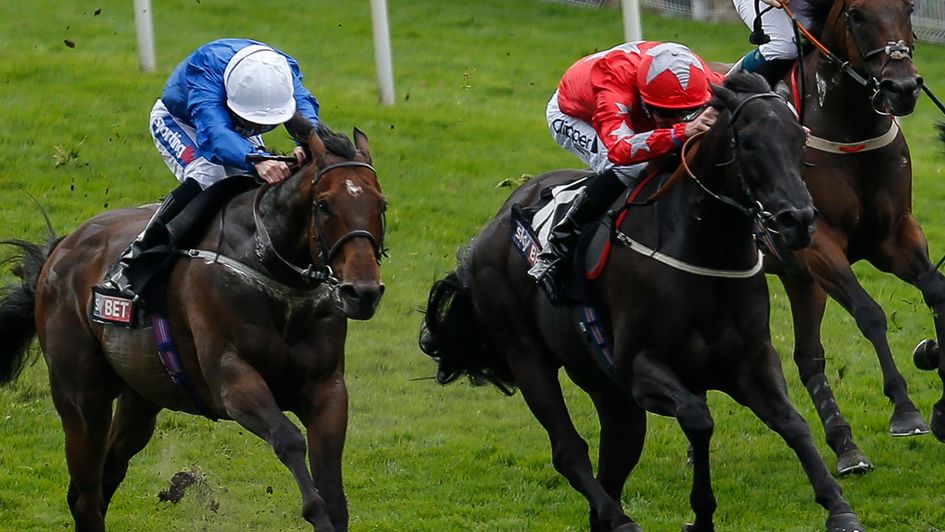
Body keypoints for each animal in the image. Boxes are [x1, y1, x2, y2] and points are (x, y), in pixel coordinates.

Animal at [0, 121, 388, 532]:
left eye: (381, 204)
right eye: (323, 205)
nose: (363, 292)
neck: (271, 268)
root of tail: (61, 250)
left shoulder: (327, 389)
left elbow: (334, 491)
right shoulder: (230, 380)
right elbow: (288, 439)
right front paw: (314, 510)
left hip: (140, 398)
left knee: (107, 476)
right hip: (80, 396)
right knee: (86, 495)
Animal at [416, 74, 860, 532]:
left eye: (800, 138)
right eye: (749, 141)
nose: (799, 220)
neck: (705, 250)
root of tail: (490, 231)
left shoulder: (750, 360)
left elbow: (793, 423)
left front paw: (838, 506)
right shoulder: (638, 368)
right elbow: (698, 418)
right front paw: (701, 514)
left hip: (606, 389)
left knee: (615, 458)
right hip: (527, 357)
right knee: (569, 451)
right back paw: (621, 518)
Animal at [768, 0, 944, 474]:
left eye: (909, 8)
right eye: (857, 14)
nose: (903, 88)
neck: (850, 129)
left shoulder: (895, 233)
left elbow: (936, 290)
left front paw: (934, 364)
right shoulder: (819, 244)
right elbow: (870, 313)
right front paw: (906, 410)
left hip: (799, 279)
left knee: (808, 358)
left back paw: (846, 446)